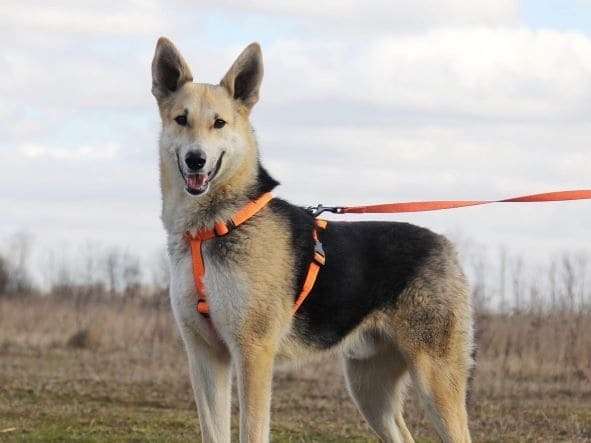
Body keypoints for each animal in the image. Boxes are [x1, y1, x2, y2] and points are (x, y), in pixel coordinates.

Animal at [154, 38, 476, 443]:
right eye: (181, 119)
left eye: (219, 123)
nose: (196, 160)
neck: (213, 226)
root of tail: (445, 246)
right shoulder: (204, 357)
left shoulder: (253, 353)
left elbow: (252, 431)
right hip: (369, 387)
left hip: (435, 379)